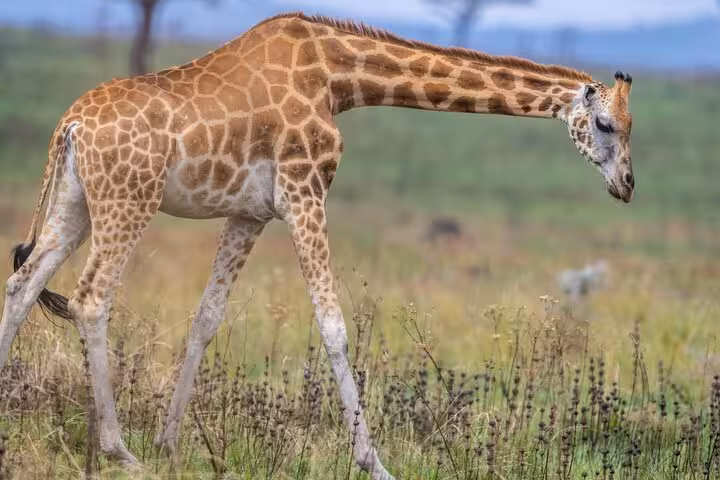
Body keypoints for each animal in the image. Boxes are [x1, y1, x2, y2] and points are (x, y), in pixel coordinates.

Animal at [0, 12, 634, 478]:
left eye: (632, 129)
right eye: (605, 125)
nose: (626, 186)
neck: (340, 77)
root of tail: (70, 126)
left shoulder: (249, 213)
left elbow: (207, 317)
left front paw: (170, 441)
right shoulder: (304, 192)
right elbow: (334, 327)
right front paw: (375, 464)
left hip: (77, 203)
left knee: (22, 283)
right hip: (129, 199)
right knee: (90, 299)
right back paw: (117, 450)